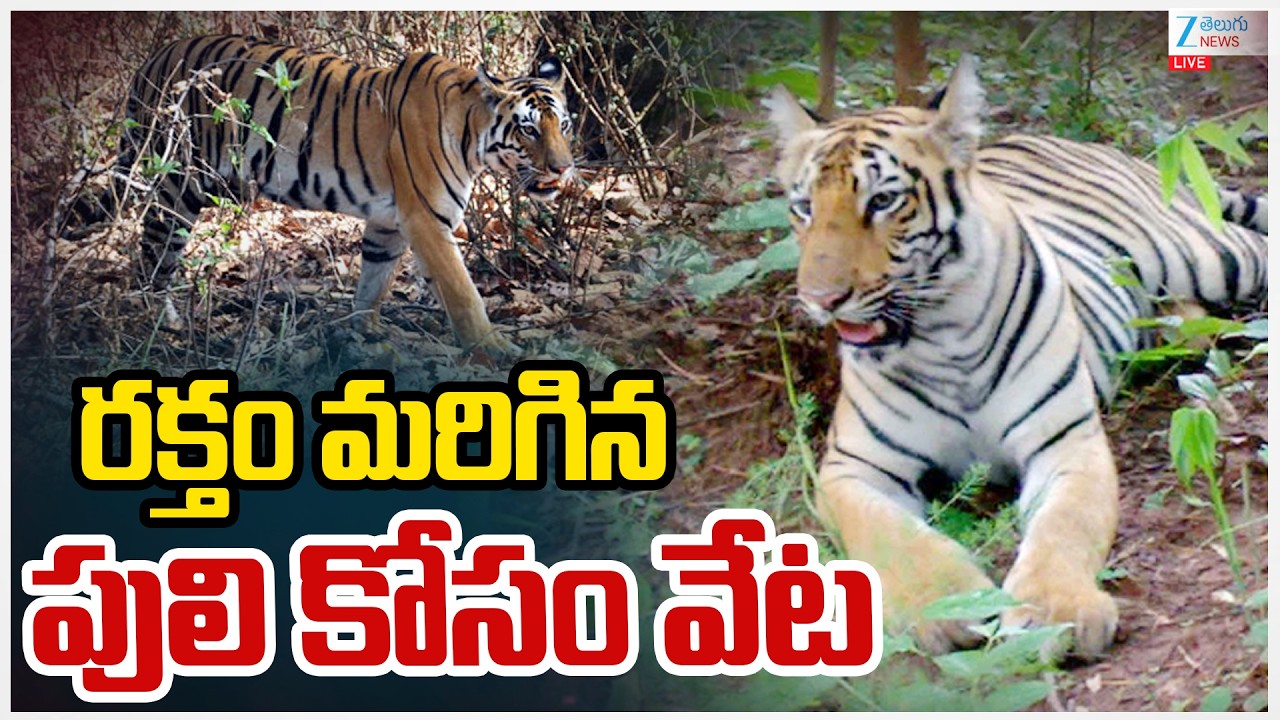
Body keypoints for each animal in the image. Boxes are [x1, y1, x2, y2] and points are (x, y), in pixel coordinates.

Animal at [118, 34, 574, 354]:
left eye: (564, 125)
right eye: (529, 129)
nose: (564, 168)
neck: (471, 132)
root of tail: (152, 60)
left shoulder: (389, 224)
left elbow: (373, 282)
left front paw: (364, 334)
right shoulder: (427, 220)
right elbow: (463, 293)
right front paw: (493, 348)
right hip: (176, 183)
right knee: (153, 255)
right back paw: (161, 322)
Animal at [765, 55, 1267, 658]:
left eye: (882, 201)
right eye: (803, 208)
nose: (820, 299)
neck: (941, 339)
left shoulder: (1066, 443)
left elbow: (1062, 526)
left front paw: (1054, 612)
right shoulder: (852, 468)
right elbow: (892, 535)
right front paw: (946, 603)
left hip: (1208, 253)